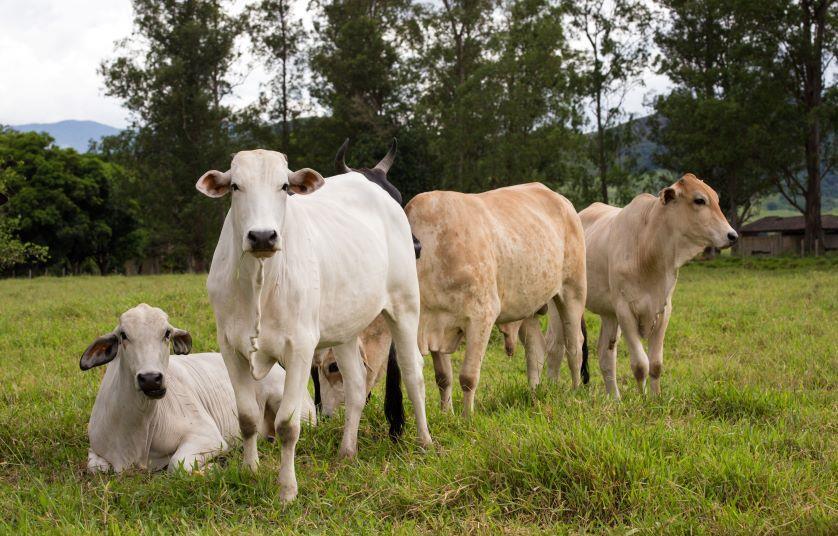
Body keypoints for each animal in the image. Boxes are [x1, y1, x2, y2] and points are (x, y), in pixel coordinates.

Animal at [80, 304, 313, 474]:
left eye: (167, 333)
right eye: (123, 335)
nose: (151, 379)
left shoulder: (208, 437)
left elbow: (177, 465)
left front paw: (214, 467)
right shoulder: (96, 449)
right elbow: (96, 467)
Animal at [197, 149, 432, 502]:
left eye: (284, 186)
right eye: (236, 186)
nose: (262, 236)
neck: (260, 280)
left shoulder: (300, 348)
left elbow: (287, 425)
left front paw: (287, 489)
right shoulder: (230, 348)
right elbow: (247, 418)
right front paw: (249, 471)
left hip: (404, 305)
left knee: (412, 372)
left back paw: (425, 442)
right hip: (347, 328)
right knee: (356, 385)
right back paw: (347, 451)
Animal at [405, 183, 587, 417]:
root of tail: (562, 201)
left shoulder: (481, 316)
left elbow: (468, 377)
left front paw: (467, 417)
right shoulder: (437, 325)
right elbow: (443, 377)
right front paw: (447, 414)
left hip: (573, 290)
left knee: (574, 345)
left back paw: (575, 391)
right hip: (528, 306)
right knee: (536, 348)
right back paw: (534, 393)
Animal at [579, 173, 738, 399]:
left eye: (716, 199)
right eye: (699, 200)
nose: (732, 236)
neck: (647, 247)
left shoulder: (663, 309)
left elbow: (655, 364)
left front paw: (655, 398)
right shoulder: (624, 310)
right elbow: (640, 365)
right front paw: (642, 398)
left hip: (608, 314)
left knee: (605, 355)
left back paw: (615, 398)